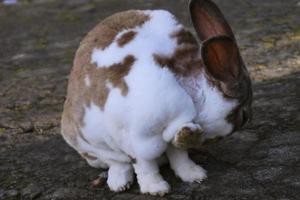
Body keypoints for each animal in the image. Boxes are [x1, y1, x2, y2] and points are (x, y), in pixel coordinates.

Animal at [61, 0, 253, 195]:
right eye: (243, 116)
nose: (245, 121)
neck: (190, 97)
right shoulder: (137, 139)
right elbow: (144, 165)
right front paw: (156, 188)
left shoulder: (171, 136)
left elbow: (179, 156)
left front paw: (194, 175)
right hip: (90, 145)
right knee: (117, 163)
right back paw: (119, 183)